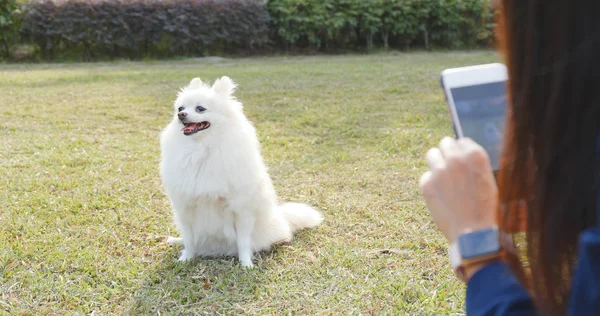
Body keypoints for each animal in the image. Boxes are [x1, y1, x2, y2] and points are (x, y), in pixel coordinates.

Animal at [159, 76, 324, 266]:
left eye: (200, 108)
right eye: (180, 108)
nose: (180, 115)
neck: (202, 149)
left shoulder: (242, 209)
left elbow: (243, 241)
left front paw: (246, 264)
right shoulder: (185, 208)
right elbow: (189, 238)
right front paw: (186, 258)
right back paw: (176, 240)